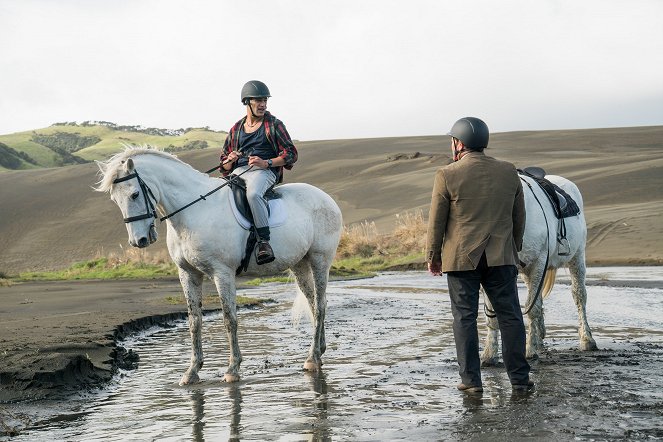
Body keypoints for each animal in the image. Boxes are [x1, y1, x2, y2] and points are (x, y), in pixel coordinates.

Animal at [96, 148, 344, 384]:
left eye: (135, 194)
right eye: (115, 200)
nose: (138, 241)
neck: (193, 212)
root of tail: (326, 198)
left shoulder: (221, 273)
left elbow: (229, 319)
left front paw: (232, 369)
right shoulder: (188, 273)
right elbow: (194, 320)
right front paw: (192, 371)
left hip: (320, 260)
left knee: (320, 305)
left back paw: (312, 358)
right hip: (299, 264)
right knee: (313, 303)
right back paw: (318, 351)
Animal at [480, 173, 600, 366]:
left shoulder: (538, 262)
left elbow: (532, 308)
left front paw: (529, 351)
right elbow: (493, 314)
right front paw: (489, 354)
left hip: (577, 258)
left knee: (579, 295)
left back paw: (587, 339)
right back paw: (539, 339)